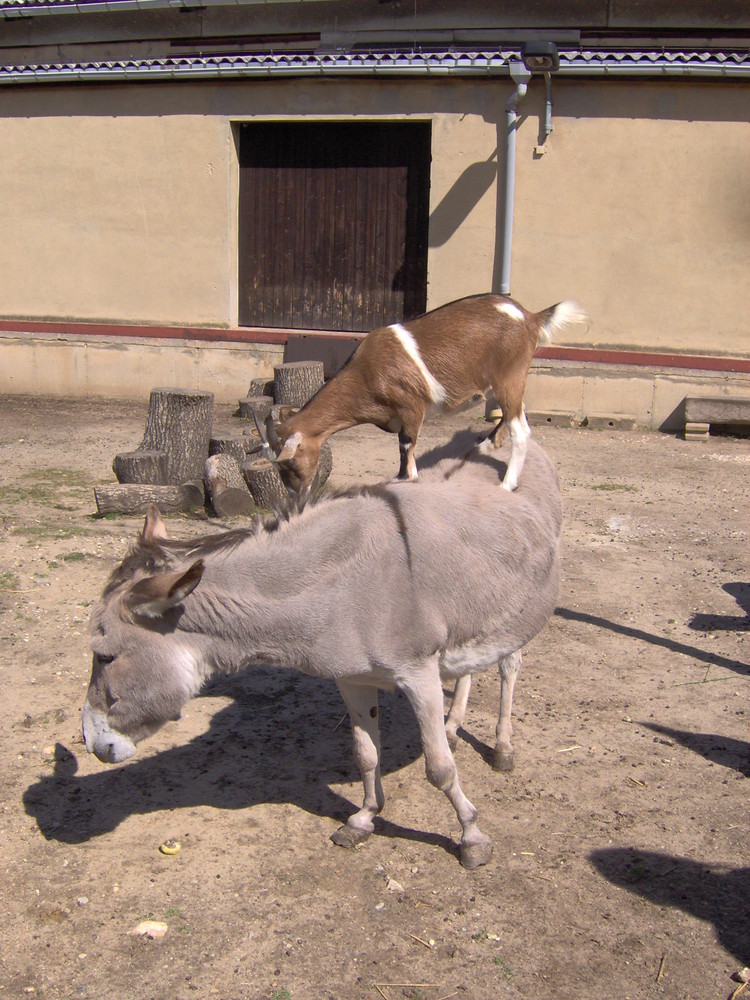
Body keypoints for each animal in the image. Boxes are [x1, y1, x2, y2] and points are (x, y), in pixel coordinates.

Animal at [262, 292, 588, 496]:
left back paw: (507, 484)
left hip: (509, 375)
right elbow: (402, 446)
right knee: (515, 416)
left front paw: (406, 479)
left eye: (289, 462)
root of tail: (530, 317)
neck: (364, 373)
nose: (295, 494)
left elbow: (406, 446)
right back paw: (485, 445)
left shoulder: (411, 407)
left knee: (521, 429)